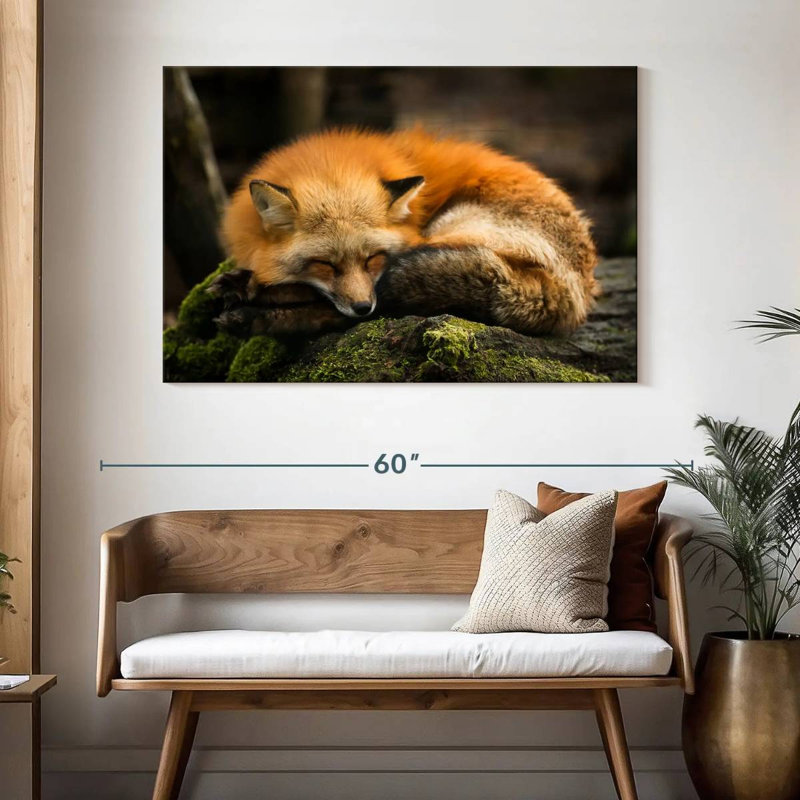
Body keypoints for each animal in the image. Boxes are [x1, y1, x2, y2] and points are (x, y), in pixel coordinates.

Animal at [215, 128, 598, 336]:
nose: (362, 307)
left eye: (372, 258)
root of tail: (577, 292)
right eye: (325, 264)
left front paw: (253, 291)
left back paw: (254, 313)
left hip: (450, 231)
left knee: (368, 309)